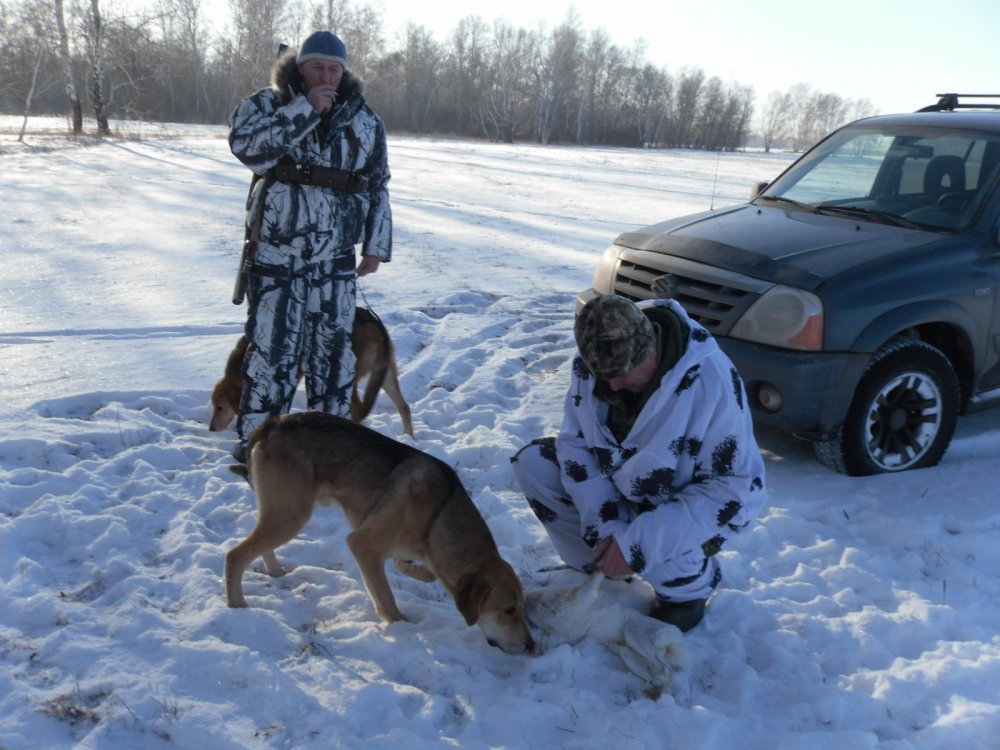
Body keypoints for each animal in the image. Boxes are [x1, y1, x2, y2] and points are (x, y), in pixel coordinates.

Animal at [209, 308, 412, 438]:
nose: (210, 428)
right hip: (384, 374)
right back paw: (409, 438)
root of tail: (374, 324)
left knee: (359, 409)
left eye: (220, 407)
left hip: (345, 376)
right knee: (404, 407)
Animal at [226, 412, 536, 656]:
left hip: (280, 513)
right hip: (290, 515)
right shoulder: (363, 544)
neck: (437, 514)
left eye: (523, 608)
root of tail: (272, 423)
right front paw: (402, 626)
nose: (531, 646)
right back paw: (237, 606)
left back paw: (275, 571)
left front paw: (418, 573)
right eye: (509, 610)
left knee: (256, 547)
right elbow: (386, 598)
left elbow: (417, 569)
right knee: (235, 555)